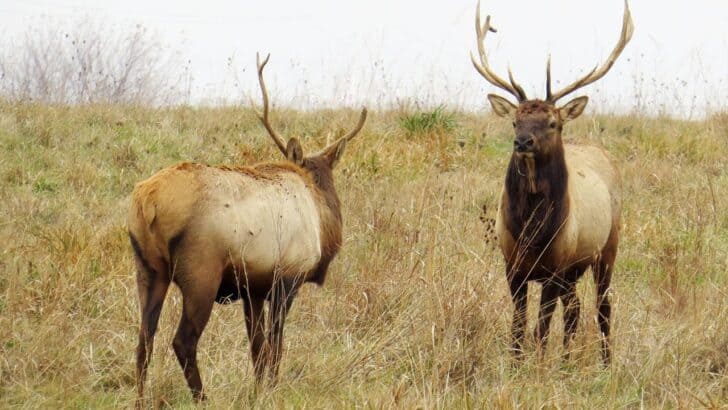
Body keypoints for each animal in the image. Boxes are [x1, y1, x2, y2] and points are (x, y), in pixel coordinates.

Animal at [127, 53, 367, 404]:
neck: (319, 219)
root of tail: (148, 202)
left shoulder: (253, 288)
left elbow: (257, 347)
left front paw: (258, 390)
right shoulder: (287, 279)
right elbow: (275, 345)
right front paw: (272, 388)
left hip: (148, 269)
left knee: (144, 339)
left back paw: (141, 399)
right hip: (201, 273)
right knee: (183, 341)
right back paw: (203, 398)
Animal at [471, 1, 633, 363]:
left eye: (552, 123)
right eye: (515, 121)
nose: (523, 142)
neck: (531, 231)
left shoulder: (555, 266)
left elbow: (541, 328)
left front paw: (538, 365)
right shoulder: (513, 265)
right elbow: (519, 325)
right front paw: (517, 363)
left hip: (607, 248)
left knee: (602, 307)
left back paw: (605, 363)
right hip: (575, 268)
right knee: (574, 310)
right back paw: (567, 361)